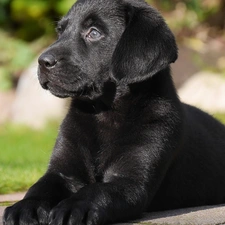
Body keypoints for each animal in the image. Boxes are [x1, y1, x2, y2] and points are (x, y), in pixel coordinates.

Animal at [3, 0, 225, 225]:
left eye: (94, 32)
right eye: (60, 31)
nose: (42, 61)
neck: (103, 113)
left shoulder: (130, 182)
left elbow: (96, 191)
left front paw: (72, 207)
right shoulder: (62, 172)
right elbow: (39, 187)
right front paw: (24, 207)